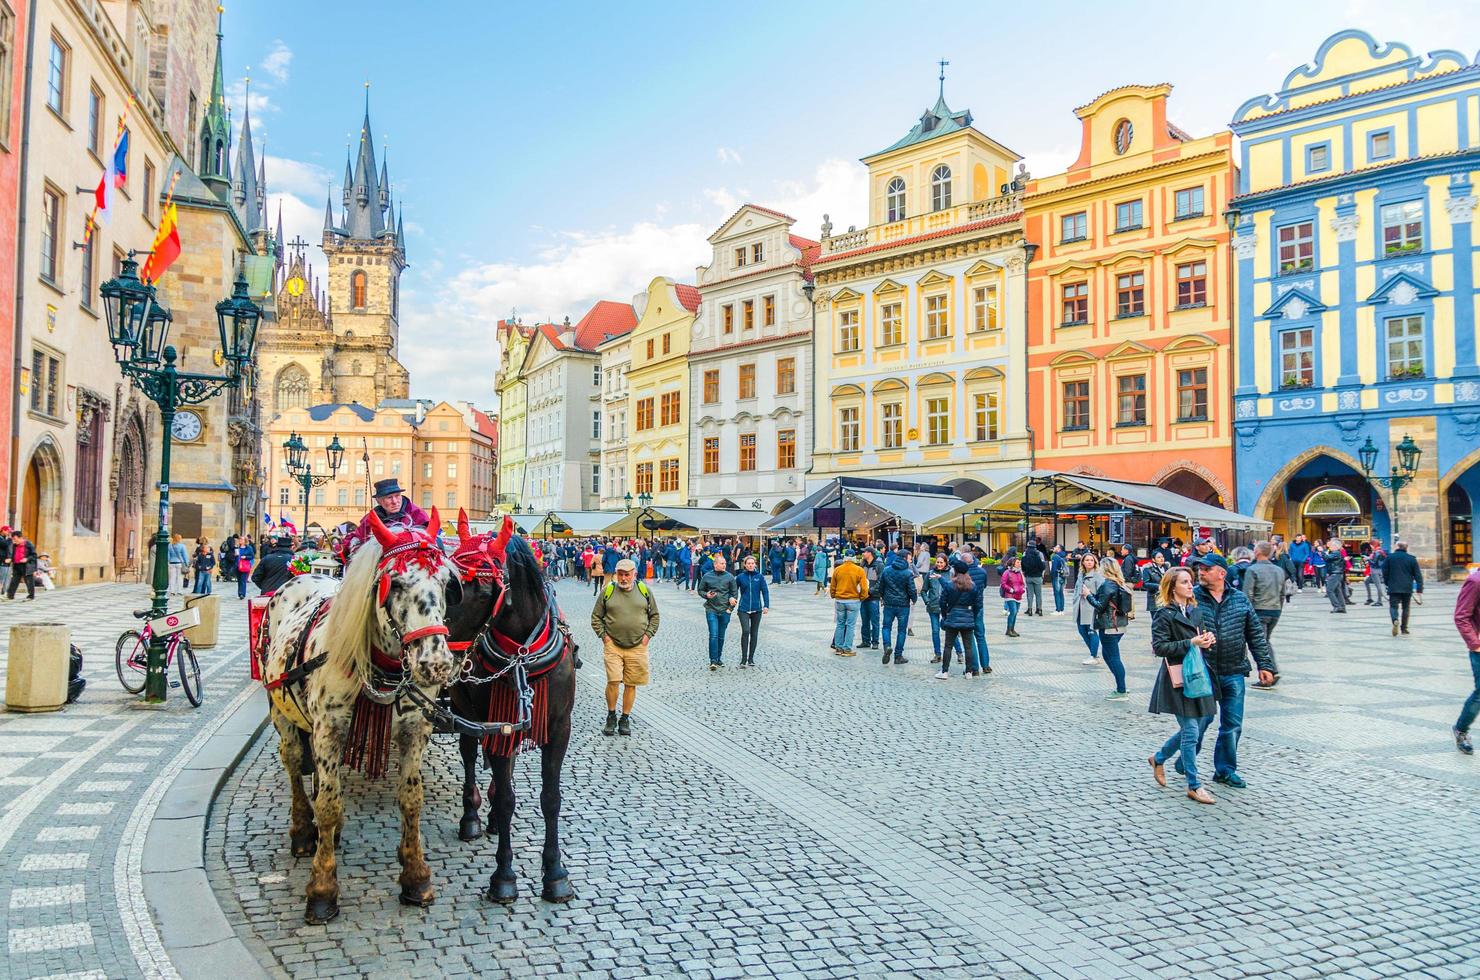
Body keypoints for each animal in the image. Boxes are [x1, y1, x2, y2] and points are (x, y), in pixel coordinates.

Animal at [261, 515, 455, 929]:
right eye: (395, 583)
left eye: (448, 583)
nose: (436, 664)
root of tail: (307, 574)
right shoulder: (328, 729)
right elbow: (328, 804)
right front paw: (322, 890)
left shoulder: (415, 729)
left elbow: (411, 799)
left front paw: (415, 876)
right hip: (281, 710)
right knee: (294, 764)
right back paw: (303, 831)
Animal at [441, 515, 574, 905]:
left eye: (485, 591)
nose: (439, 649)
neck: (521, 657)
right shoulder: (495, 721)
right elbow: (506, 799)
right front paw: (503, 875)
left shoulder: (558, 729)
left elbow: (551, 799)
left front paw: (555, 873)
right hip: (466, 710)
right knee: (470, 754)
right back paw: (472, 816)